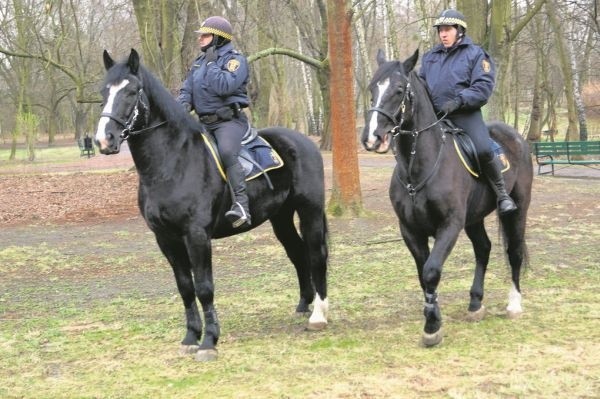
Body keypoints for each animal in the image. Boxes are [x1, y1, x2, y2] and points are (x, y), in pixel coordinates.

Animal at [95, 48, 328, 360]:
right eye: (103, 91)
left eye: (132, 91)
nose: (104, 140)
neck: (173, 163)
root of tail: (305, 142)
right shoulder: (166, 238)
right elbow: (185, 288)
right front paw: (190, 337)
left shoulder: (196, 235)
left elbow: (204, 287)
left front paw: (209, 341)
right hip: (280, 217)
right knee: (298, 253)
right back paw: (304, 305)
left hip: (310, 211)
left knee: (316, 254)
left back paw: (319, 314)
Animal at [364, 50, 532, 348]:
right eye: (373, 89)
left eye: (399, 90)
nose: (372, 138)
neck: (419, 166)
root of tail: (517, 138)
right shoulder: (410, 230)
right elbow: (423, 276)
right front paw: (433, 316)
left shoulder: (450, 225)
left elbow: (432, 271)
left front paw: (432, 326)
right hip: (474, 219)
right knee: (484, 249)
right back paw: (475, 303)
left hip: (517, 210)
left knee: (514, 252)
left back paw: (514, 304)